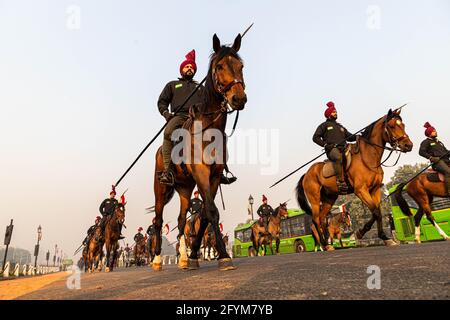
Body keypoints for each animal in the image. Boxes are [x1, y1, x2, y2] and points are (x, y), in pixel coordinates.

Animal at [153, 33, 248, 272]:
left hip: (185, 188)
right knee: (158, 220)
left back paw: (183, 258)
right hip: (160, 188)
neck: (208, 129)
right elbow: (211, 211)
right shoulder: (201, 172)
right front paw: (224, 257)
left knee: (180, 219)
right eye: (220, 66)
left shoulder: (214, 175)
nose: (238, 99)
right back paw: (157, 260)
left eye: (241, 66)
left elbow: (205, 213)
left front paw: (195, 255)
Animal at [294, 109, 414, 251]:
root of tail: (306, 174)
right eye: (391, 126)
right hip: (314, 199)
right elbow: (376, 212)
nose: (408, 145)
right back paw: (325, 244)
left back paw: (328, 244)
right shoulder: (360, 190)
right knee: (315, 220)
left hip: (329, 197)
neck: (367, 157)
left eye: (403, 125)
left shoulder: (375, 190)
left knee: (322, 218)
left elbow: (377, 212)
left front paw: (384, 237)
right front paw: (362, 233)